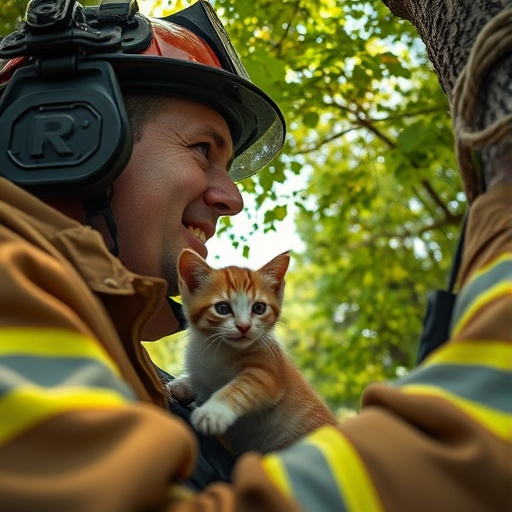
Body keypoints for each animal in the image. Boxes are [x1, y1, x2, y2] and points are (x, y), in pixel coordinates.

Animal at [166, 248, 338, 456]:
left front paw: (213, 411)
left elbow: (240, 387)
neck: (217, 348)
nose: (244, 327)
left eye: (259, 308)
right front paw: (183, 384)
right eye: (222, 308)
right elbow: (202, 379)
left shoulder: (269, 371)